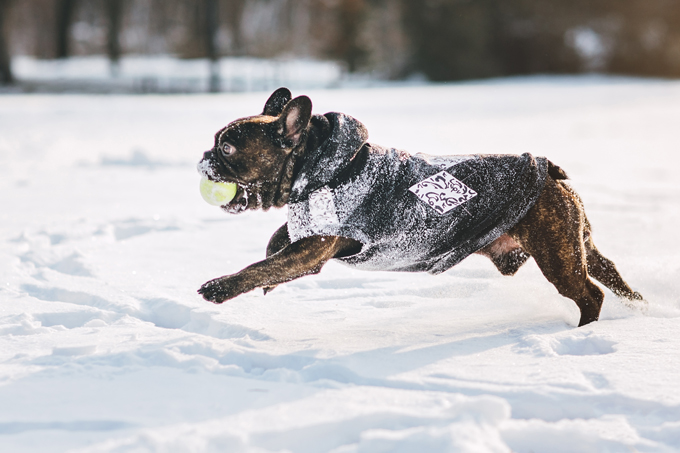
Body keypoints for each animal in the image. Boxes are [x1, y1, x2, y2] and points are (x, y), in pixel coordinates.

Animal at [197, 86, 644, 324]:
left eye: (228, 148)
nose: (204, 156)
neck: (317, 166)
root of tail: (548, 170)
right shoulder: (310, 235)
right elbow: (277, 243)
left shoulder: (314, 248)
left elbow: (264, 265)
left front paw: (220, 288)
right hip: (574, 243)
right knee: (608, 271)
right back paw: (637, 306)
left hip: (556, 255)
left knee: (589, 293)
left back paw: (583, 330)